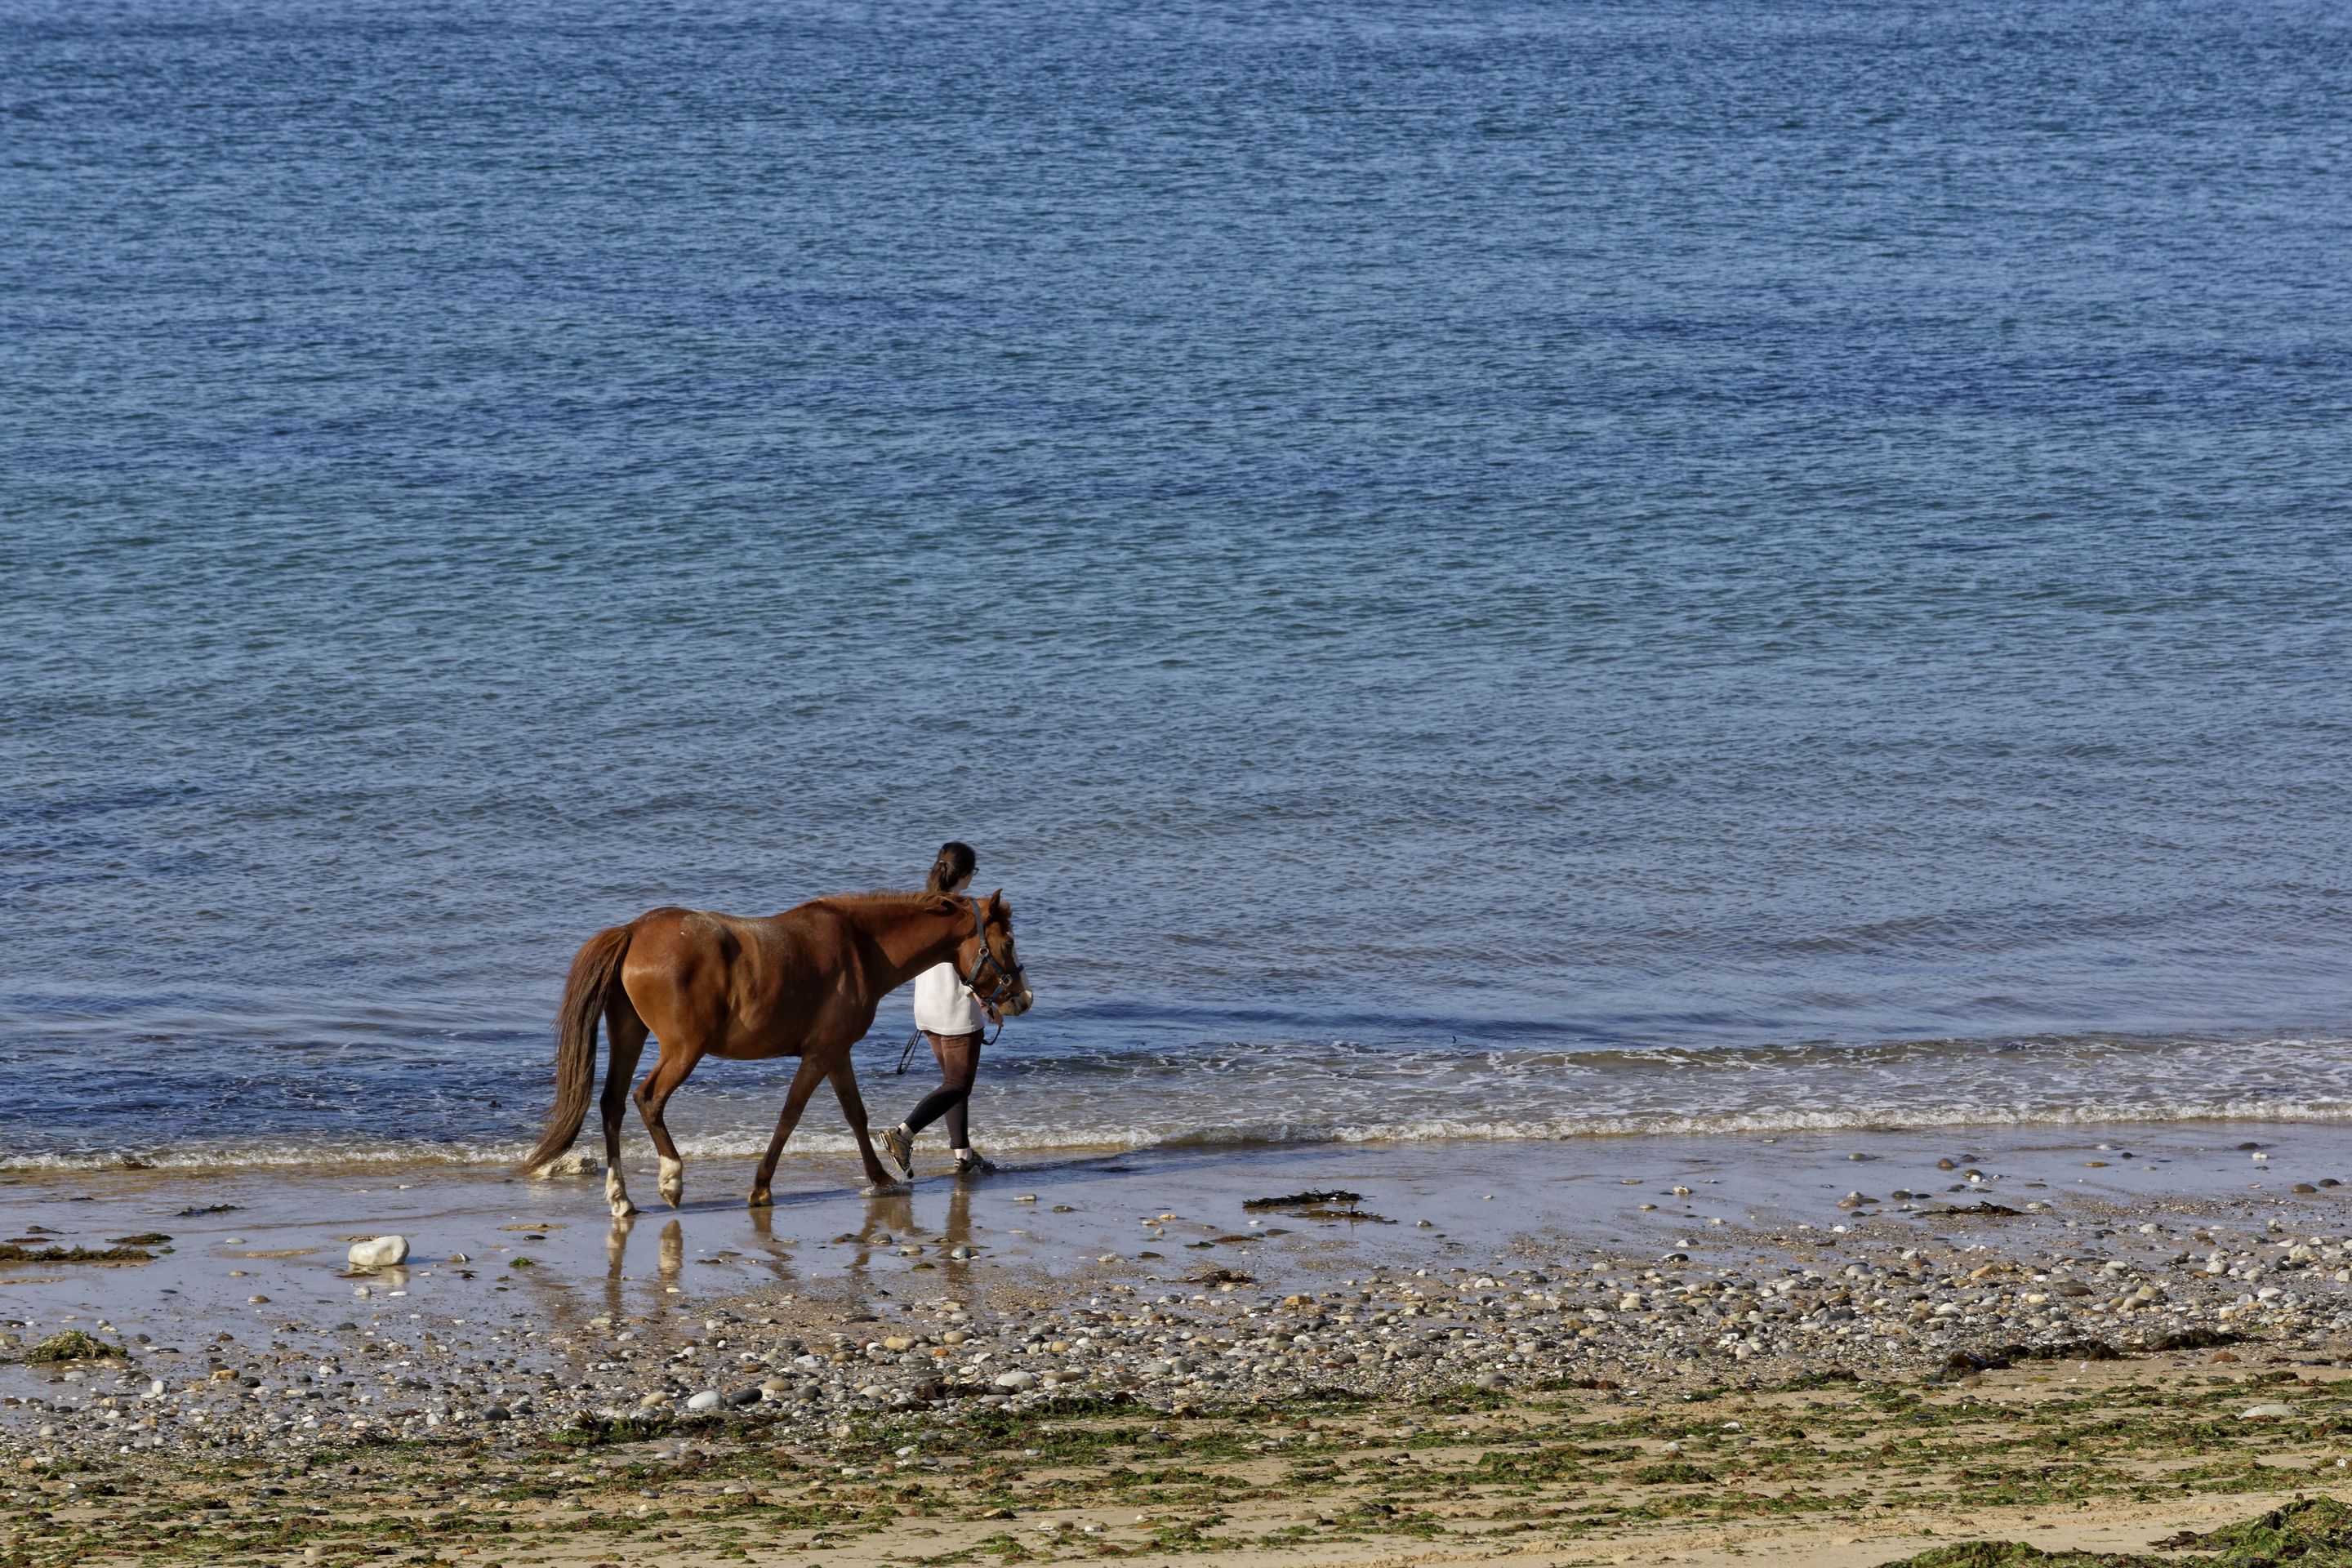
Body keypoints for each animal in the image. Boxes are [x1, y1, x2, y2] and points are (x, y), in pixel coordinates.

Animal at [519, 890, 1032, 1216]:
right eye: (1007, 942)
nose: (1022, 998)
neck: (860, 947)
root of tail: (633, 931)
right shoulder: (821, 1055)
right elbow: (791, 1115)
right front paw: (762, 1187)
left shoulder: (835, 1054)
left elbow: (855, 1115)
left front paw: (880, 1178)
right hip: (682, 1050)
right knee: (648, 1099)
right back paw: (671, 1178)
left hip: (630, 1036)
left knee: (612, 1105)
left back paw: (621, 1198)